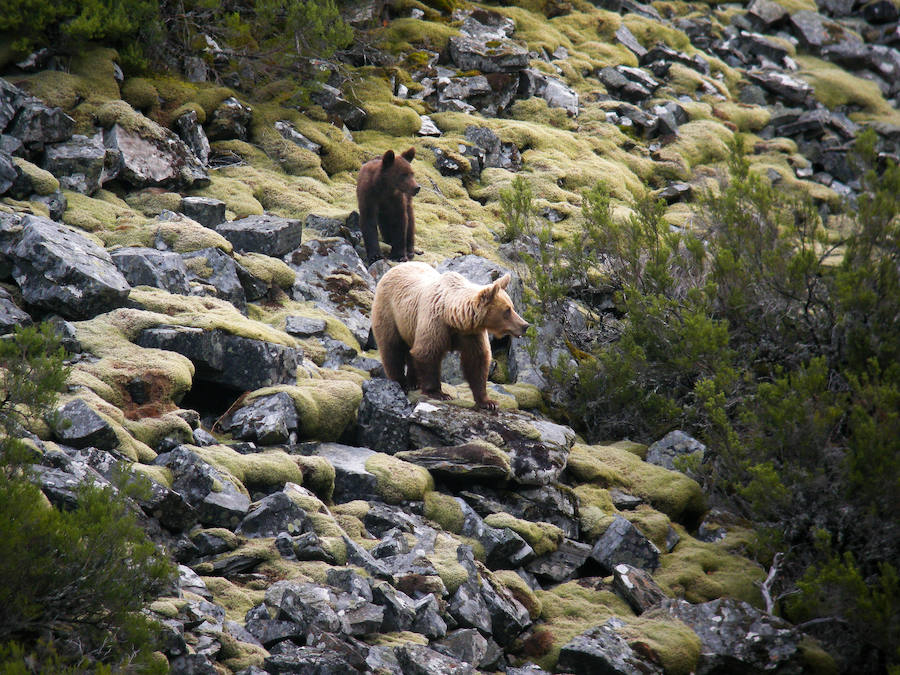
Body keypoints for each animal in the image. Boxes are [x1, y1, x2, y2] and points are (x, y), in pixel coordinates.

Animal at [370, 262, 532, 412]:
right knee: (391, 347)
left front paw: (488, 402)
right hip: (389, 312)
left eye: (512, 307)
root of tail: (395, 267)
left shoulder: (470, 334)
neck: (453, 318)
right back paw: (400, 382)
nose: (525, 325)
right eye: (507, 310)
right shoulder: (435, 323)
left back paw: (413, 382)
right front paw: (439, 393)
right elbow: (427, 353)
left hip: (410, 326)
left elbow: (477, 361)